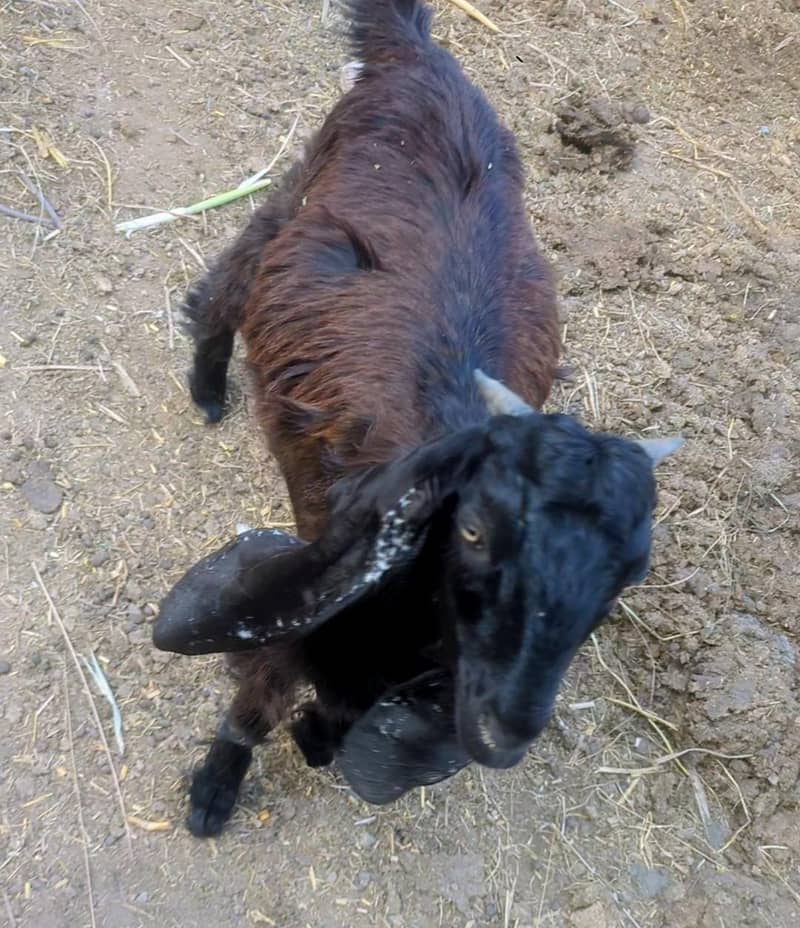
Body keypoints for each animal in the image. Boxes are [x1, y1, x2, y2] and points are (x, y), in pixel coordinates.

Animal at [154, 0, 681, 836]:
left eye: (627, 576)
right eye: (472, 531)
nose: (508, 727)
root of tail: (422, 55)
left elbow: (328, 726)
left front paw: (313, 740)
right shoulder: (302, 613)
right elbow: (255, 702)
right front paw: (214, 790)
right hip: (302, 193)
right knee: (230, 277)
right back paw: (206, 384)